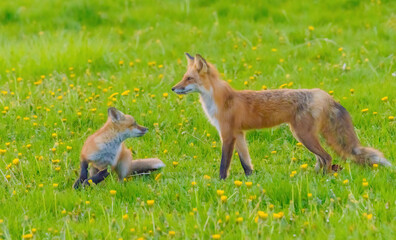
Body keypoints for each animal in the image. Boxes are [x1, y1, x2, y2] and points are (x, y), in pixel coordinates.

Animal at [172, 53, 392, 179]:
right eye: (183, 77)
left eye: (189, 78)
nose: (173, 88)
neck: (219, 100)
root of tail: (323, 94)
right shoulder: (239, 134)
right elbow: (246, 162)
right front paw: (250, 180)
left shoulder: (227, 134)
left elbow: (224, 164)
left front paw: (221, 183)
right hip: (304, 136)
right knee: (321, 159)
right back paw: (313, 176)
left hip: (303, 136)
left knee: (327, 157)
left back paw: (323, 179)